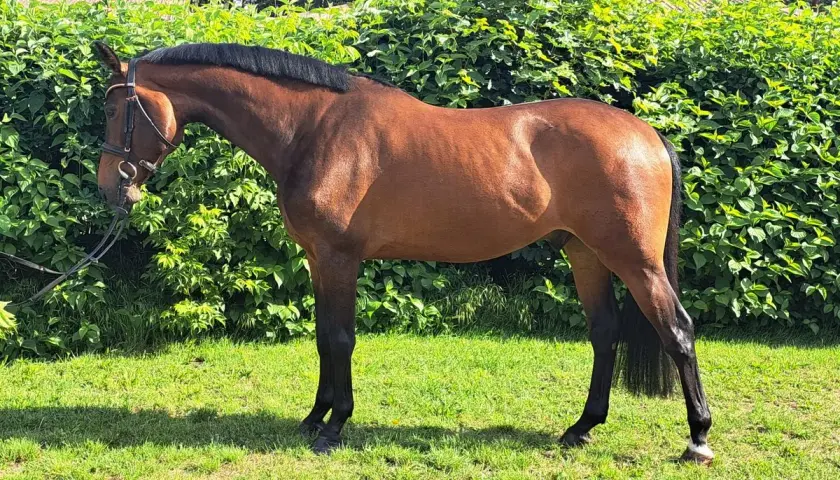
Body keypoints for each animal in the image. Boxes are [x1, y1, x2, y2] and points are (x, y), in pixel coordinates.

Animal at [92, 41, 713, 463]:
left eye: (116, 111)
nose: (108, 186)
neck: (314, 128)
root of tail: (648, 135)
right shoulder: (319, 259)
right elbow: (323, 338)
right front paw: (314, 417)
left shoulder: (339, 257)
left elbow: (340, 338)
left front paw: (333, 427)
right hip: (584, 254)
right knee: (604, 334)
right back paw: (580, 428)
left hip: (634, 260)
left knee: (677, 331)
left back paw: (698, 439)